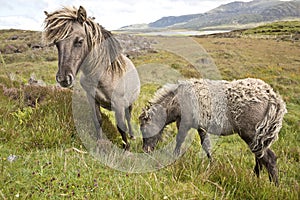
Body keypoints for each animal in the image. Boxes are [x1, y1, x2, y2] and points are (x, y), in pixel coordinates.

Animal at [44, 6, 140, 149]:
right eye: (56, 43)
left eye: (79, 41)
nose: (63, 79)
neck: (102, 75)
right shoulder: (92, 99)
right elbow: (97, 120)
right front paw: (100, 143)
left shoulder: (118, 103)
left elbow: (121, 126)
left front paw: (126, 147)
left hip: (129, 103)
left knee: (128, 117)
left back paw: (132, 135)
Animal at [139, 77, 288, 184]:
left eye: (144, 129)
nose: (146, 151)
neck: (177, 99)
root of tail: (273, 98)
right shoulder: (201, 127)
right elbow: (206, 146)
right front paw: (212, 165)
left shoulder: (184, 123)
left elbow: (179, 140)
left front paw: (175, 158)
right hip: (257, 137)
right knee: (260, 158)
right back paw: (256, 179)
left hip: (250, 135)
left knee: (269, 158)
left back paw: (274, 185)